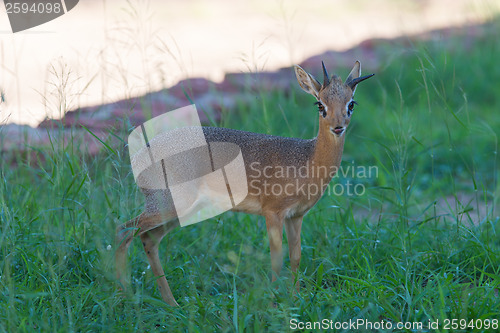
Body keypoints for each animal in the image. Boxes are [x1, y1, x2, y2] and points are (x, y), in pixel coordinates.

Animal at [117, 61, 374, 304]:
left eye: (351, 103)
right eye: (320, 104)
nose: (338, 127)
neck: (307, 159)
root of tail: (139, 155)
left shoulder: (296, 216)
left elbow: (296, 257)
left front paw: (295, 298)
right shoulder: (273, 212)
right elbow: (276, 258)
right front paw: (275, 301)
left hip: (179, 211)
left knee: (148, 239)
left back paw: (170, 303)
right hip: (168, 204)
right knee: (124, 229)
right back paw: (125, 296)